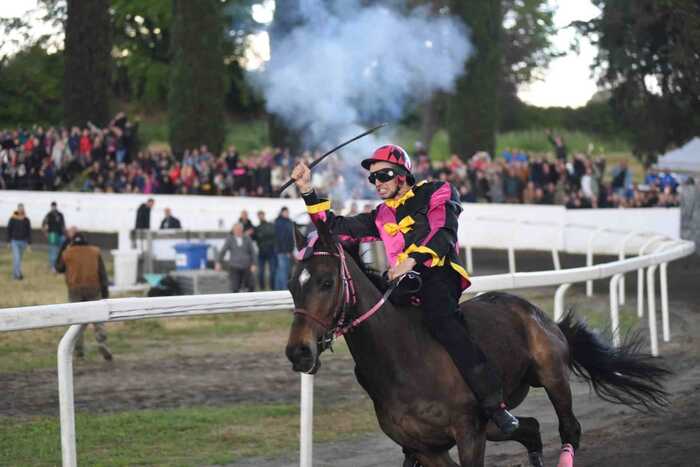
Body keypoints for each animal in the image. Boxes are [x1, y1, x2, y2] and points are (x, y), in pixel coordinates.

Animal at [286, 225, 672, 466]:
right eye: (291, 284)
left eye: (326, 281)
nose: (298, 351)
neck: (403, 360)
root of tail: (537, 313)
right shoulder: (426, 448)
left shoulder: (469, 432)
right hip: (498, 423)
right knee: (531, 429)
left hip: (551, 377)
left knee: (569, 429)